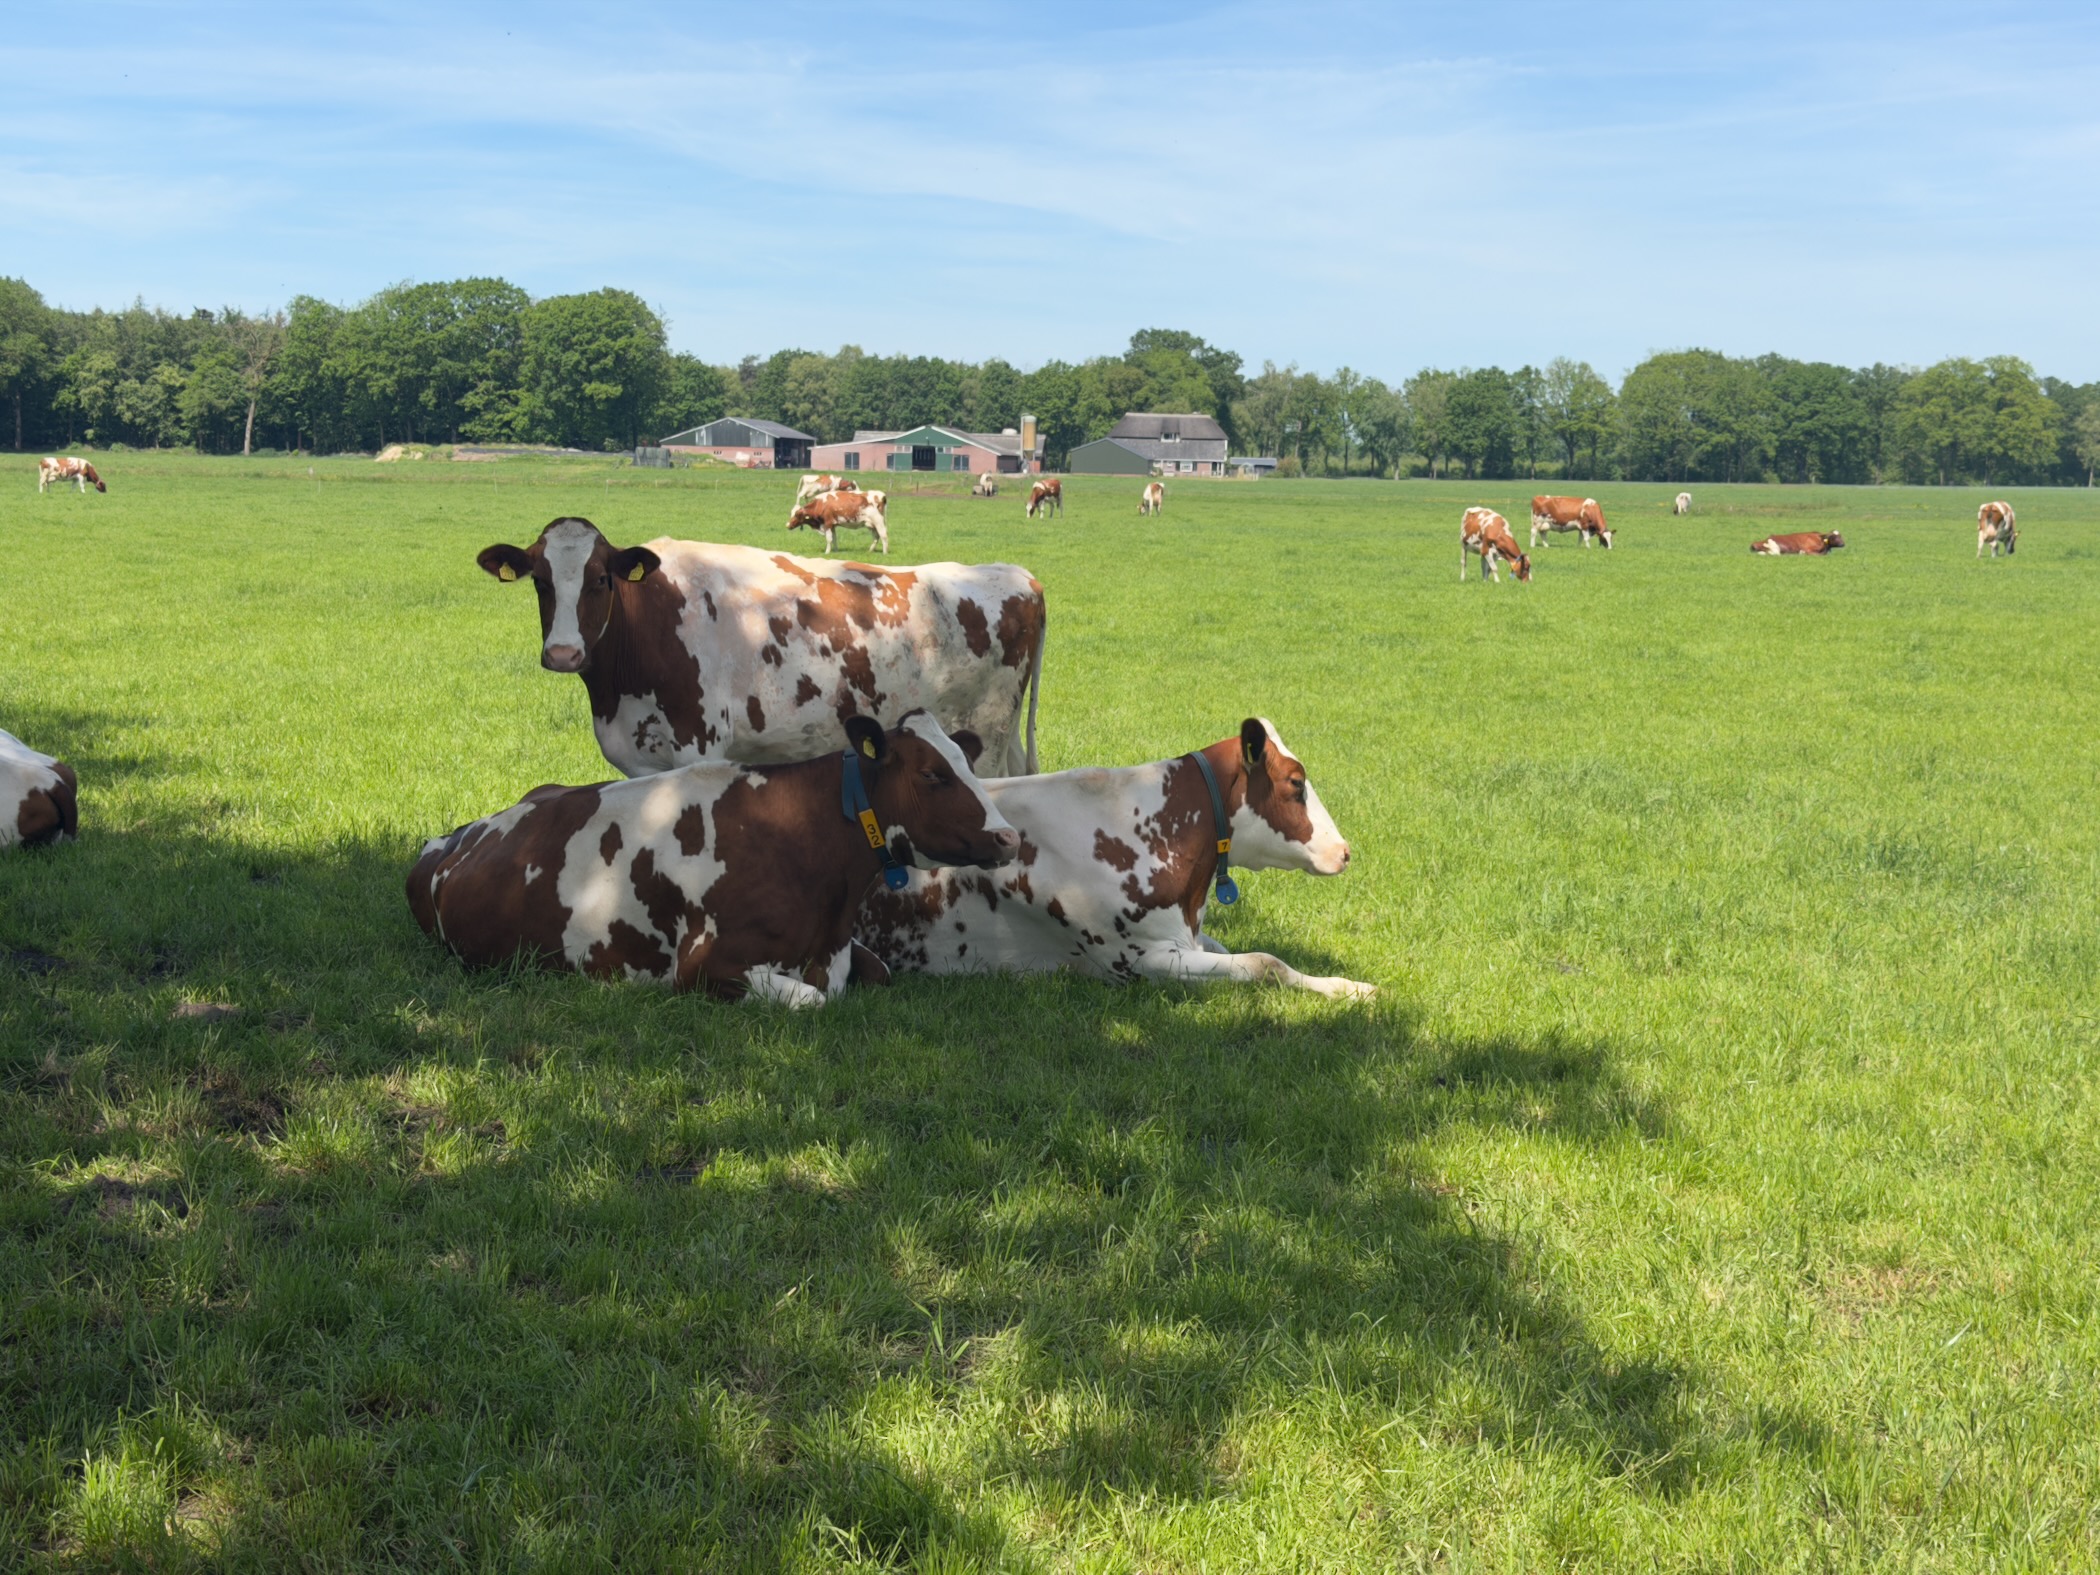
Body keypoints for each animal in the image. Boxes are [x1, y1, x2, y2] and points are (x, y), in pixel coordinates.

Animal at [408, 712, 1019, 1009]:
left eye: (966, 762)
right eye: (934, 774)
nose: (1009, 837)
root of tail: (454, 837)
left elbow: (880, 971)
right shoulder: (702, 965)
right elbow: (812, 1000)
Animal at [478, 517, 1047, 779]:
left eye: (600, 579)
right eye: (540, 582)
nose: (563, 654)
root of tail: (1018, 574)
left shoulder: (699, 747)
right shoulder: (636, 760)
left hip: (986, 739)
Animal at [857, 718, 1373, 1000]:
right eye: (1295, 783)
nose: (1345, 851)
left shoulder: (1188, 937)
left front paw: (1348, 986)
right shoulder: (1142, 960)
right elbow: (1264, 962)